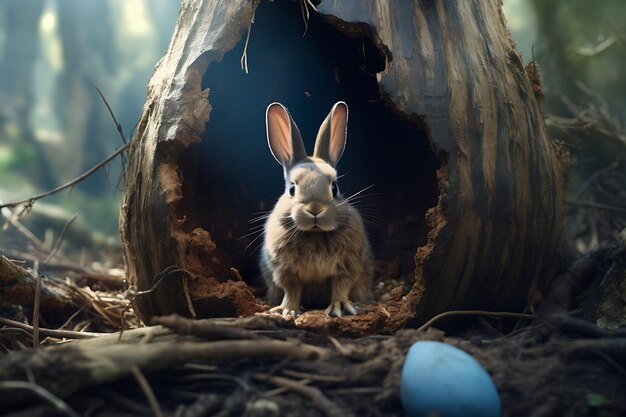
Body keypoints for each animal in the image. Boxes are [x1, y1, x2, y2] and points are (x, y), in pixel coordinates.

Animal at [258, 101, 370, 318]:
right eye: (292, 189)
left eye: (335, 188)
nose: (315, 210)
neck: (315, 234)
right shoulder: (285, 272)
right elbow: (292, 290)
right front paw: (287, 311)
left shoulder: (347, 267)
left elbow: (341, 286)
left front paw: (340, 307)